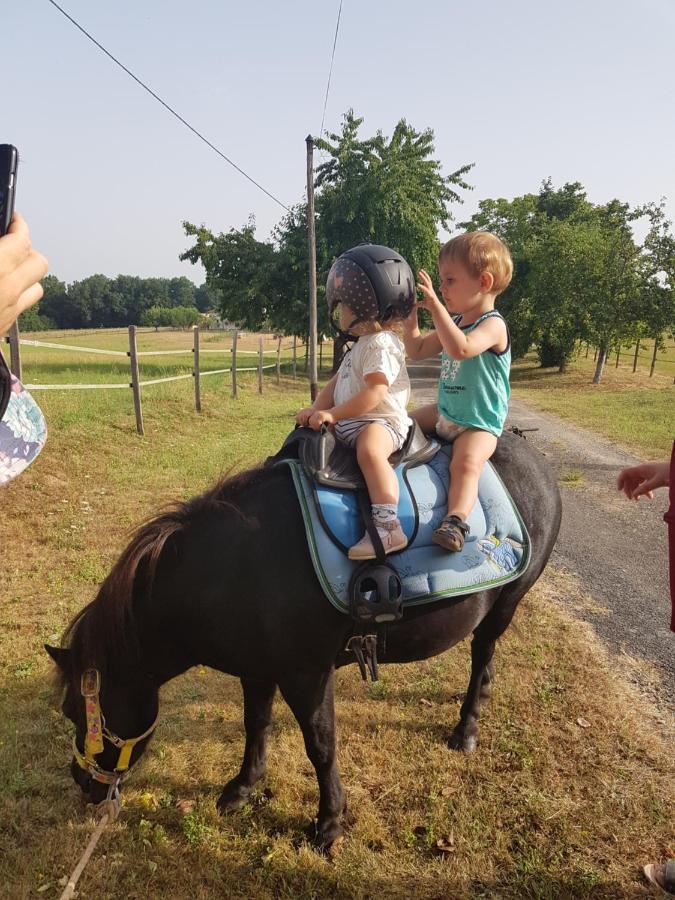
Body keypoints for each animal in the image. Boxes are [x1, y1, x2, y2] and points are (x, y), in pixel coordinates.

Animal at [47, 434, 564, 852]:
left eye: (75, 712)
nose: (83, 783)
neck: (236, 567)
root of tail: (537, 465)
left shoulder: (306, 674)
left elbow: (321, 745)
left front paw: (329, 822)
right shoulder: (257, 668)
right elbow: (255, 724)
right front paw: (243, 787)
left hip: (504, 604)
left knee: (483, 656)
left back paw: (467, 726)